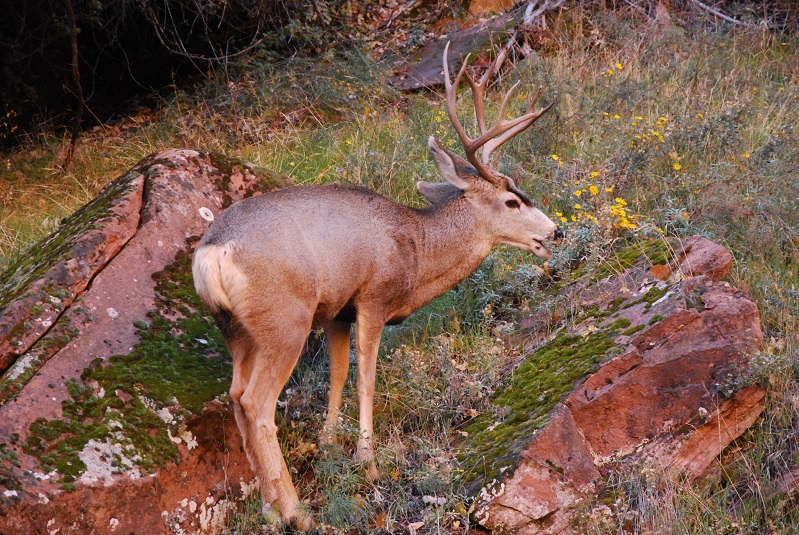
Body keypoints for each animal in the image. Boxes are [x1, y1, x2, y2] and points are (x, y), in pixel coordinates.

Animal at [191, 44, 560, 528]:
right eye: (512, 201)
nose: (555, 232)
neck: (417, 250)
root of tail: (213, 251)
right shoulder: (373, 298)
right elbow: (366, 377)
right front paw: (368, 463)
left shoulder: (335, 313)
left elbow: (338, 374)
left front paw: (330, 446)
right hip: (284, 320)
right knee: (256, 403)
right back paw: (296, 511)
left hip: (237, 330)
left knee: (235, 396)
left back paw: (270, 509)